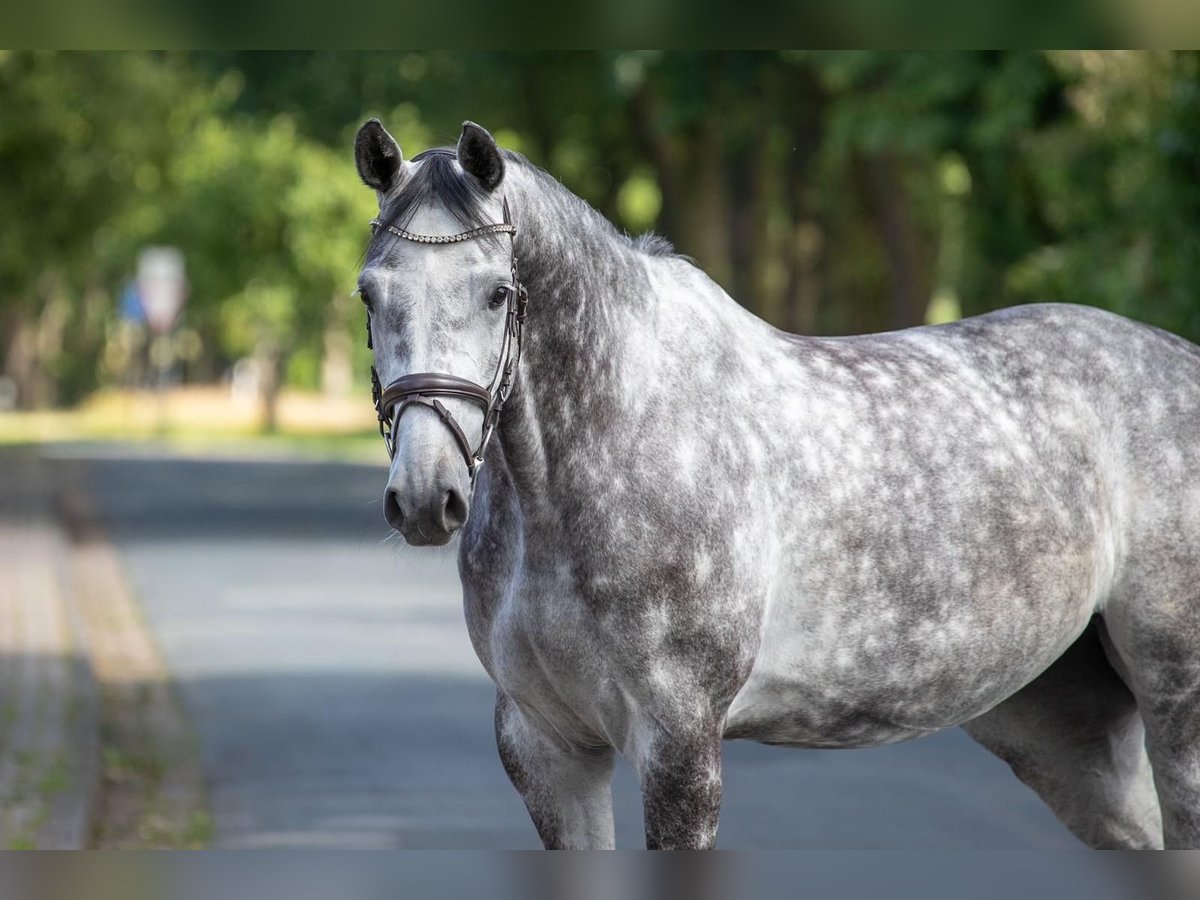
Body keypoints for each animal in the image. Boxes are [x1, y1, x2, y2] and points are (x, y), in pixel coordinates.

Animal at [352, 116, 1200, 849]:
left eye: (497, 292)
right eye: (369, 291)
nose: (425, 497)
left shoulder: (681, 747)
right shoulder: (548, 748)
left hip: (1175, 704)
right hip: (1063, 733)